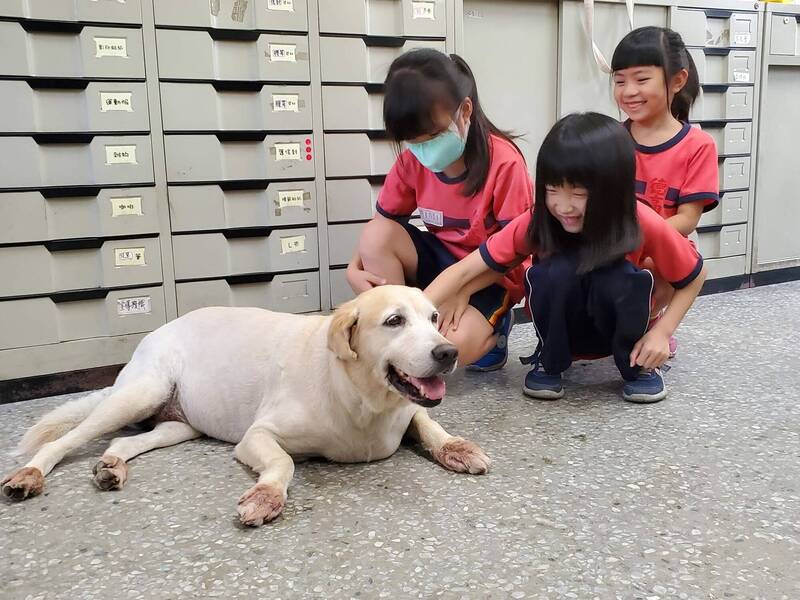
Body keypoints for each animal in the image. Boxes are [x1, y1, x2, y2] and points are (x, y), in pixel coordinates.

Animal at [1, 286, 488, 524]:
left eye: (434, 318)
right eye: (394, 321)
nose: (448, 352)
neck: (364, 399)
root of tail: (159, 330)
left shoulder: (408, 410)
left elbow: (429, 425)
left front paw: (457, 447)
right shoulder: (259, 435)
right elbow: (282, 463)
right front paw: (266, 495)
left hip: (178, 425)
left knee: (124, 442)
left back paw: (112, 466)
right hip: (140, 393)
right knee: (64, 441)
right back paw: (29, 475)